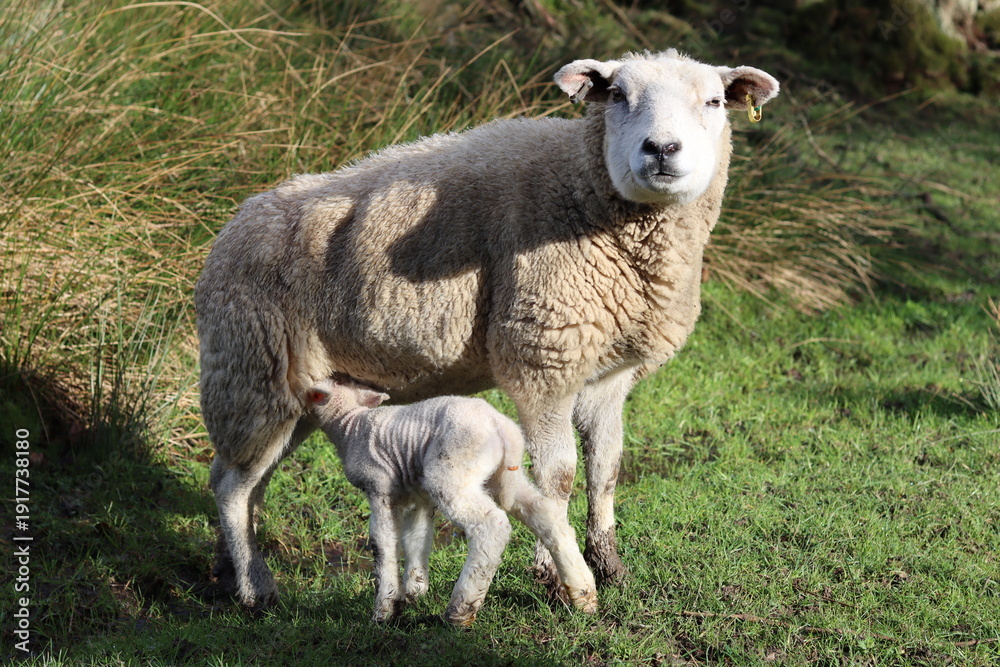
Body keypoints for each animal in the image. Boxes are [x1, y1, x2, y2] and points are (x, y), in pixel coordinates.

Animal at [304, 376, 598, 625]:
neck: (350, 425)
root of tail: (501, 427)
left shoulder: (379, 489)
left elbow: (382, 545)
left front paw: (385, 610)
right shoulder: (418, 495)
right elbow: (417, 538)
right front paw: (415, 590)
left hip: (452, 472)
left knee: (492, 525)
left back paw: (461, 609)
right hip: (504, 476)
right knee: (546, 514)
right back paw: (583, 594)